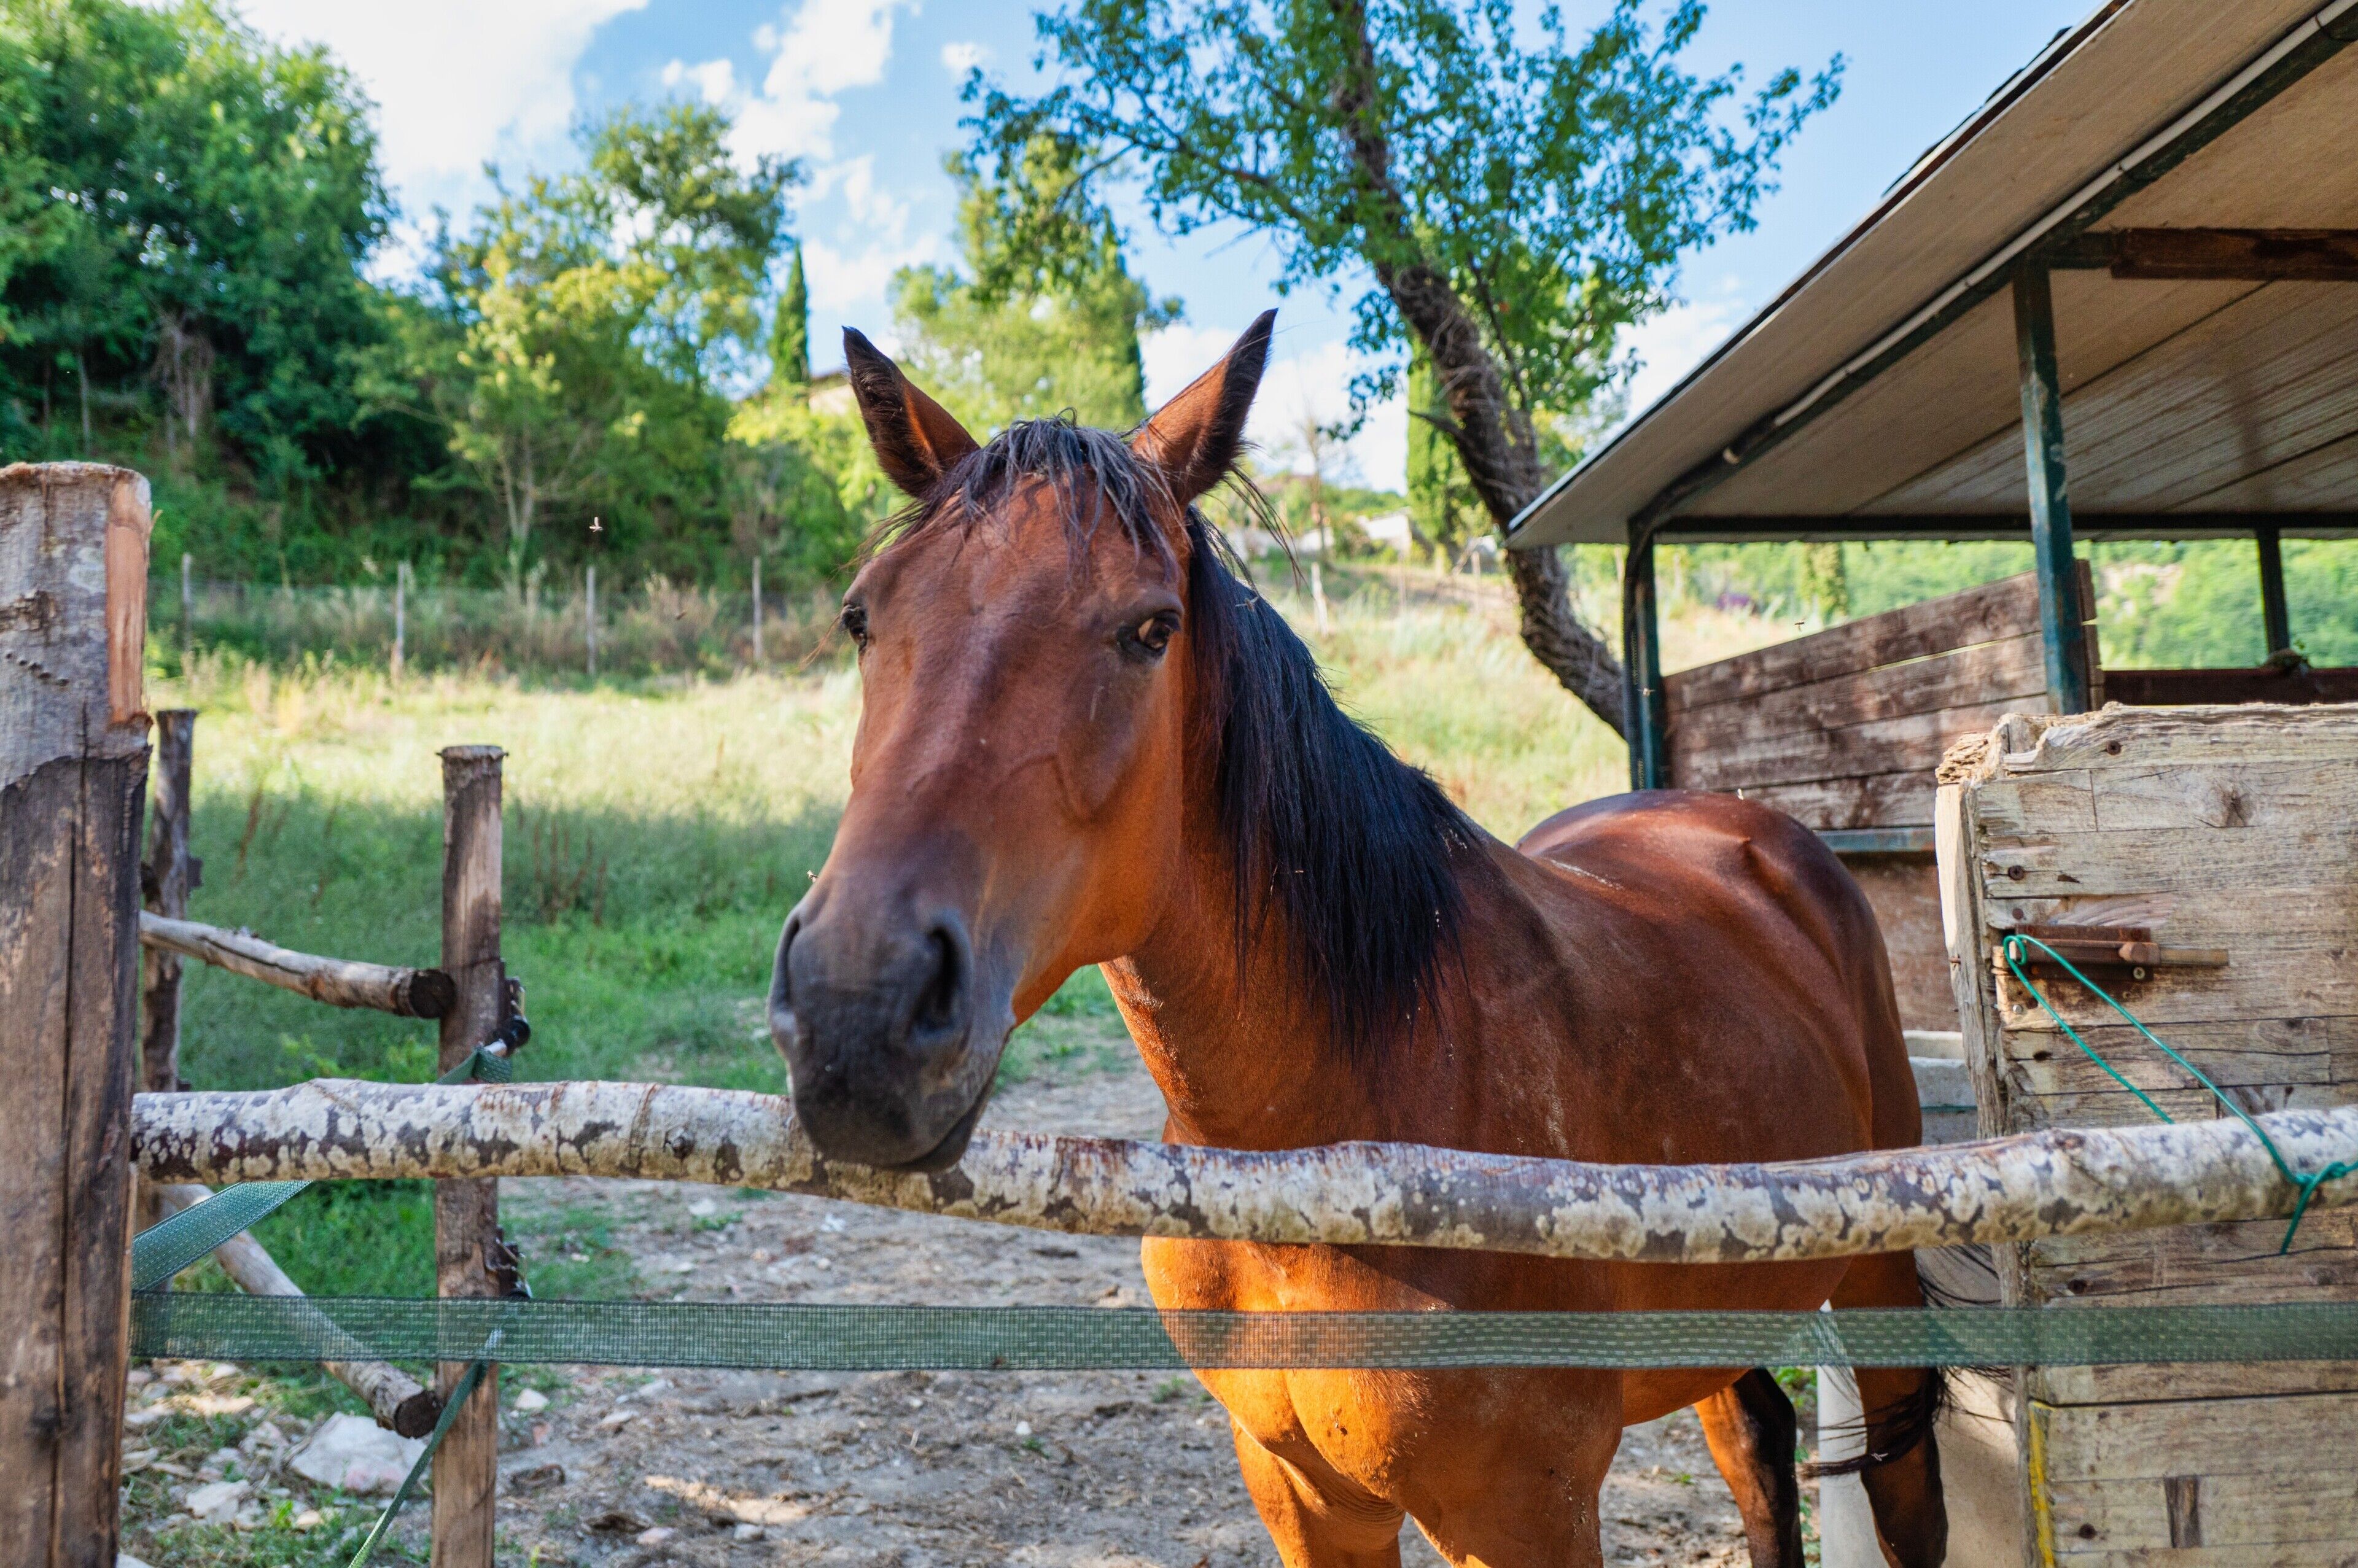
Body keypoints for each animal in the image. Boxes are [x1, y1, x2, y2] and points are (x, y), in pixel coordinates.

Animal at [767, 312, 1948, 1568]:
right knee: (1757, 1447)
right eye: (862, 615)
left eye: (1151, 628)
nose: (857, 1007)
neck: (1329, 1154)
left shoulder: (1524, 1512)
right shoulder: (1301, 1493)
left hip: (1879, 1276)